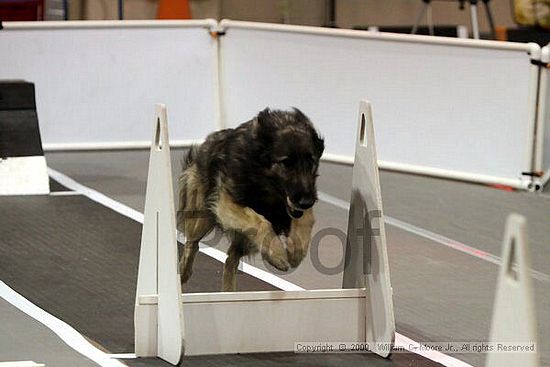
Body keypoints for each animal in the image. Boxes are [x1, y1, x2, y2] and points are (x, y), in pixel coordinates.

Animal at [178, 108, 324, 292]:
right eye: (286, 163)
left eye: (311, 162)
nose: (306, 202)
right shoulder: (226, 203)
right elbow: (260, 221)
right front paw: (278, 255)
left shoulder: (302, 201)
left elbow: (305, 220)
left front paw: (296, 252)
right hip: (201, 217)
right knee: (192, 244)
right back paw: (183, 273)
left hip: (244, 239)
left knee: (231, 259)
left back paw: (229, 292)